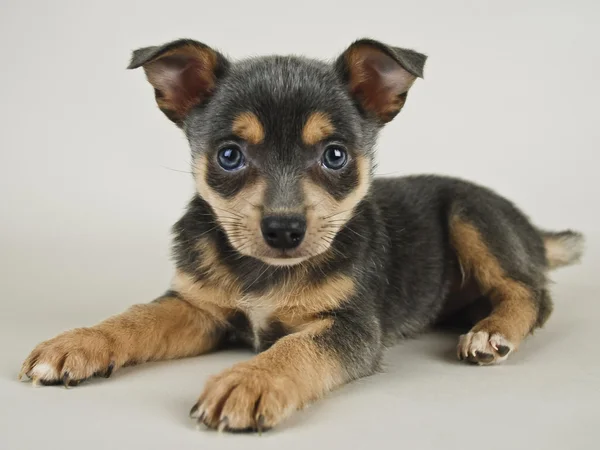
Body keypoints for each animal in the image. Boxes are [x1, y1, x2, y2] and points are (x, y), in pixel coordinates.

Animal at [21, 38, 584, 432]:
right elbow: (137, 318)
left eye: (335, 155)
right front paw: (79, 341)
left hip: (473, 215)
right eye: (229, 155)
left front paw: (248, 381)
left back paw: (492, 332)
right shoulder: (198, 308)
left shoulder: (350, 327)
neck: (264, 272)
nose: (284, 229)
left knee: (530, 291)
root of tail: (533, 233)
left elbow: (295, 348)